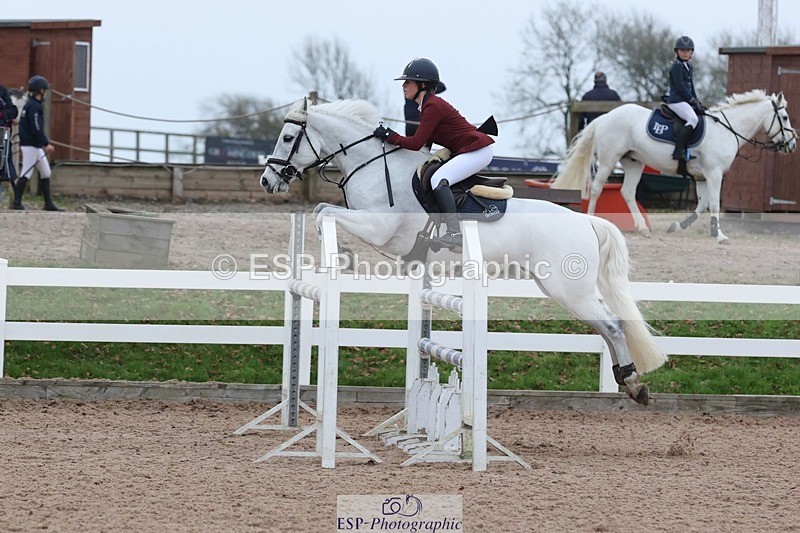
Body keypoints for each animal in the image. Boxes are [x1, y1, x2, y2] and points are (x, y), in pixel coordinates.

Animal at [259, 98, 667, 405]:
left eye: (289, 136)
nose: (267, 180)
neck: (372, 165)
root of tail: (587, 222)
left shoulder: (379, 228)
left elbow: (324, 212)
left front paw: (341, 253)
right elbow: (321, 210)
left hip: (570, 290)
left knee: (612, 325)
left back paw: (633, 383)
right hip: (562, 290)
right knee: (607, 327)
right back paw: (628, 382)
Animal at [551, 90, 797, 243]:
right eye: (785, 117)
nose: (792, 144)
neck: (726, 130)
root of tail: (605, 117)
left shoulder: (702, 177)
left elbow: (702, 205)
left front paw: (678, 226)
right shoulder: (714, 174)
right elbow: (714, 203)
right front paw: (719, 235)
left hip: (634, 162)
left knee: (628, 192)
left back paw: (643, 229)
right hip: (609, 160)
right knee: (596, 189)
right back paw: (593, 222)